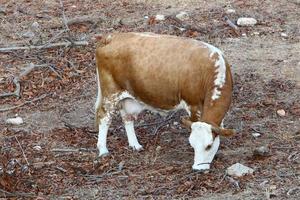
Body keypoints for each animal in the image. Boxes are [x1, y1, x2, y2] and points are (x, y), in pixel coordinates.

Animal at [95, 32, 236, 170]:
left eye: (209, 146)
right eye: (192, 144)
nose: (198, 169)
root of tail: (111, 37)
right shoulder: (193, 104)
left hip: (127, 96)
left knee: (127, 117)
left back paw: (135, 145)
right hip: (110, 93)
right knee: (104, 117)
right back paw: (103, 150)